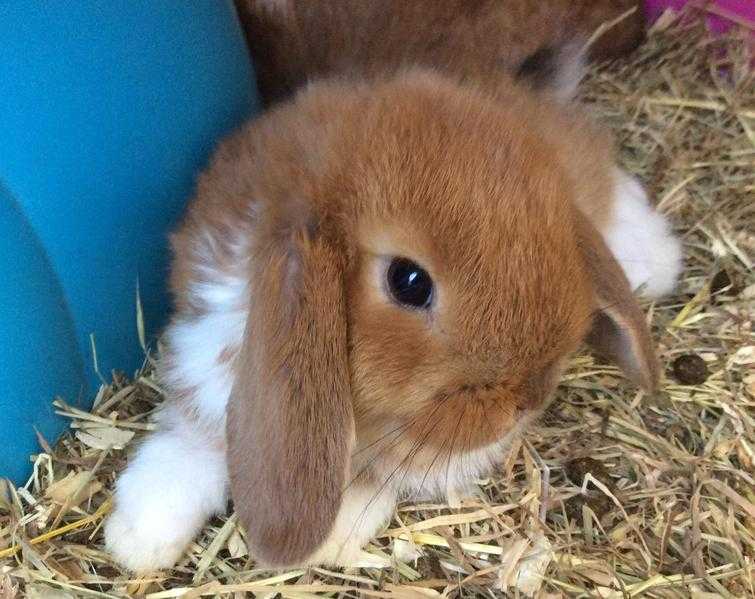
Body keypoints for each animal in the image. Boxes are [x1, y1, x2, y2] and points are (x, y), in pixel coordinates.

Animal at [105, 0, 680, 572]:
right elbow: (190, 441)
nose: (524, 404)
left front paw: (334, 535)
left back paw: (659, 258)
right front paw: (137, 536)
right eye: (408, 282)